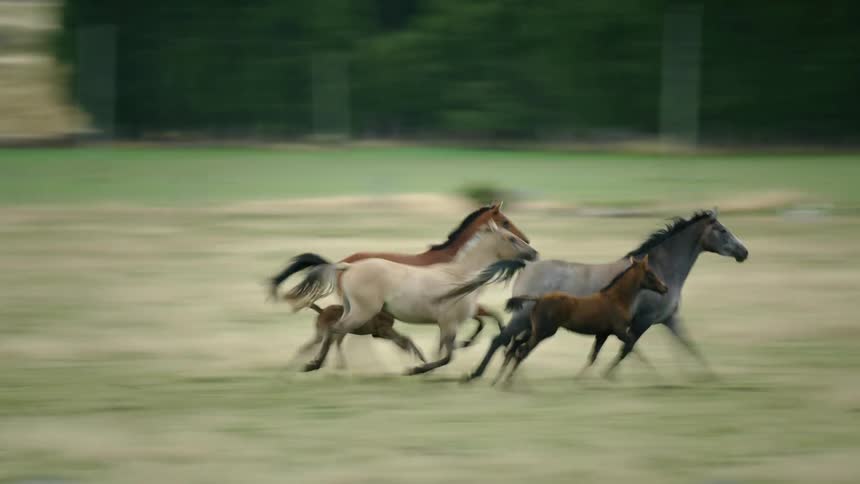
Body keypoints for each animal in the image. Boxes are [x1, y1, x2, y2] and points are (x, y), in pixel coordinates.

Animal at [268, 202, 527, 362]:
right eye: (505, 222)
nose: (527, 241)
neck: (456, 261)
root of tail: (343, 263)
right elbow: (487, 318)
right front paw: (462, 345)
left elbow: (484, 319)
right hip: (364, 308)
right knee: (349, 333)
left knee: (348, 332)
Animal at [494, 255, 668, 385]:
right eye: (650, 273)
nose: (665, 288)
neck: (616, 299)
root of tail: (538, 299)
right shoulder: (619, 331)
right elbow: (631, 346)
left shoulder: (603, 334)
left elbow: (593, 356)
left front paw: (581, 379)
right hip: (543, 332)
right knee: (521, 351)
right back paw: (508, 382)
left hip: (534, 330)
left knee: (514, 347)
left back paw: (501, 380)